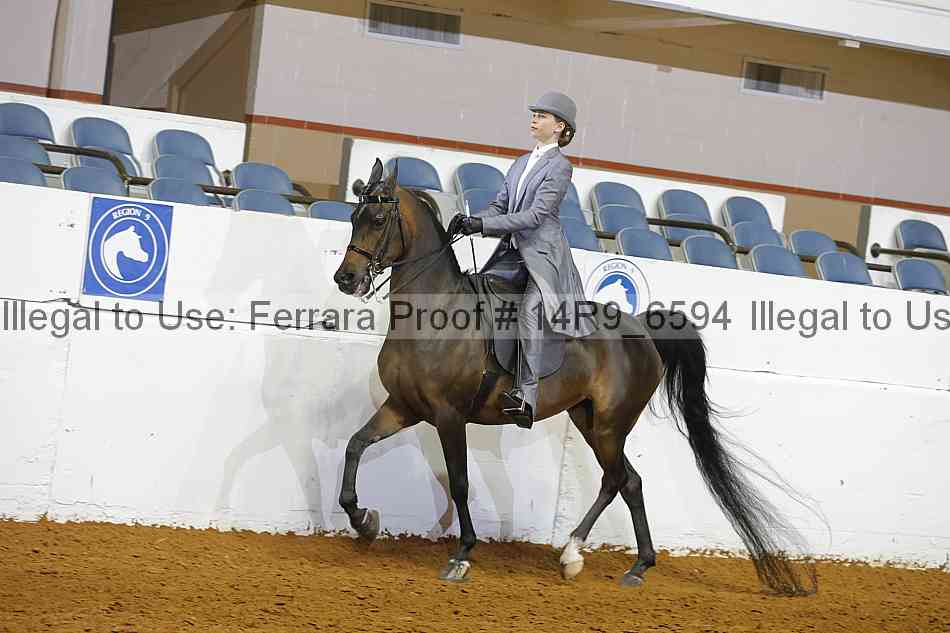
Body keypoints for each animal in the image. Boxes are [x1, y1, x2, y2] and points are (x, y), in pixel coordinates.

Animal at [332, 158, 816, 595]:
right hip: (589, 419)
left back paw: (582, 555)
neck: (434, 316)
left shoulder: (449, 416)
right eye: (354, 217)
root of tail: (641, 329)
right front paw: (365, 520)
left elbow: (460, 482)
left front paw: (462, 554)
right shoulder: (403, 406)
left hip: (610, 424)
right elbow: (355, 445)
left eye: (378, 219)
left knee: (617, 479)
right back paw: (622, 563)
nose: (345, 279)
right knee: (627, 481)